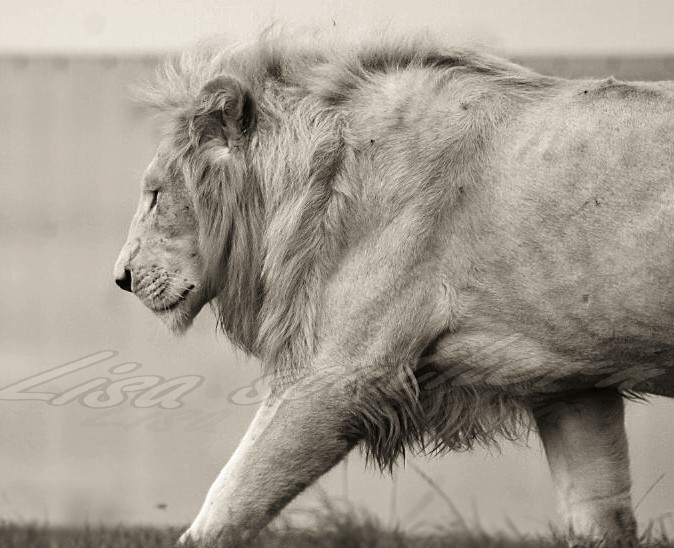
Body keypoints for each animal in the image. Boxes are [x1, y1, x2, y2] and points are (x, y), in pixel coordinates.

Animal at [114, 34, 674, 546]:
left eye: (156, 194)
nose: (120, 278)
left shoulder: (341, 374)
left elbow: (230, 501)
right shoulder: (570, 382)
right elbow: (600, 512)